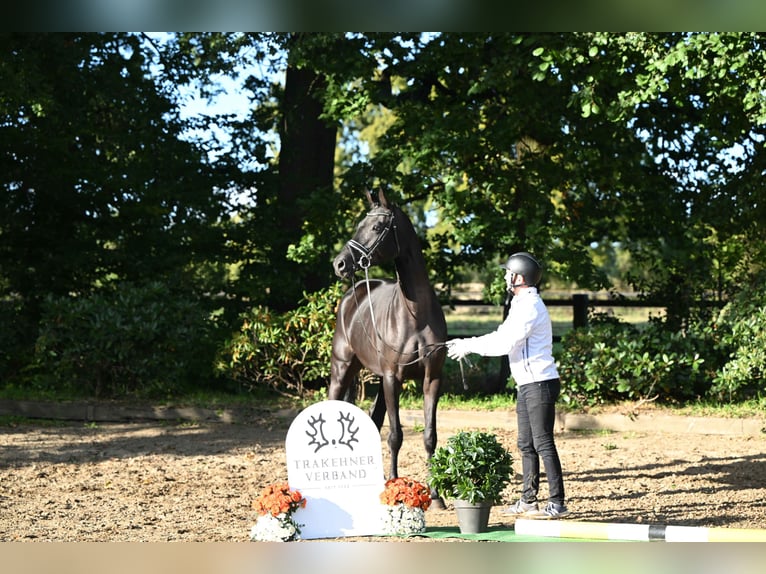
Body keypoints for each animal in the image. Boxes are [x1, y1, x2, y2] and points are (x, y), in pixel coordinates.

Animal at [332, 189, 450, 504]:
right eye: (359, 224)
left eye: (375, 227)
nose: (339, 264)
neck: (415, 315)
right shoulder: (391, 378)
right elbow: (395, 435)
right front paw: (395, 487)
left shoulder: (431, 379)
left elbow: (429, 436)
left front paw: (436, 495)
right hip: (342, 370)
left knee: (374, 421)